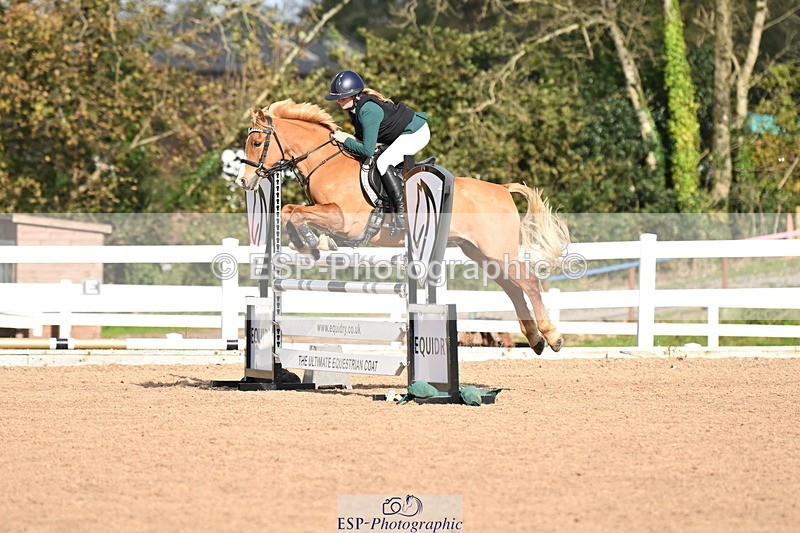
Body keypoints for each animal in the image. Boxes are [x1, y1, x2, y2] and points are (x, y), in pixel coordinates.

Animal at [235, 99, 570, 354]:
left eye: (256, 142)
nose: (244, 182)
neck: (326, 163)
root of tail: (501, 188)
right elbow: (291, 212)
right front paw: (310, 244)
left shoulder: (345, 221)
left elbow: (295, 212)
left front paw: (311, 242)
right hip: (479, 252)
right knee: (512, 288)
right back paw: (535, 339)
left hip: (496, 249)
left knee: (528, 283)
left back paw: (551, 336)